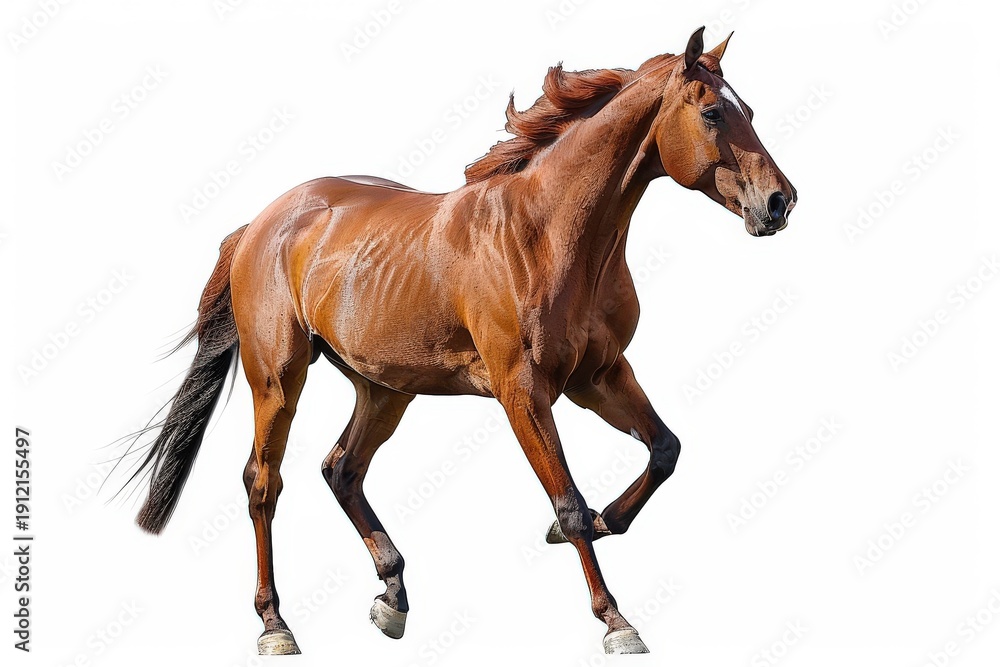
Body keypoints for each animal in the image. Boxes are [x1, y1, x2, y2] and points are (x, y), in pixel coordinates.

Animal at [123, 27, 796, 655]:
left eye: (749, 109)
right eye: (712, 113)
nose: (780, 202)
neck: (549, 234)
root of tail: (260, 224)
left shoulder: (600, 376)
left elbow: (664, 451)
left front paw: (605, 523)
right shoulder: (523, 391)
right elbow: (569, 503)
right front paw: (616, 621)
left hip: (384, 389)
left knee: (342, 469)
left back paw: (392, 596)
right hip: (279, 379)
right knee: (264, 483)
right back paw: (275, 625)